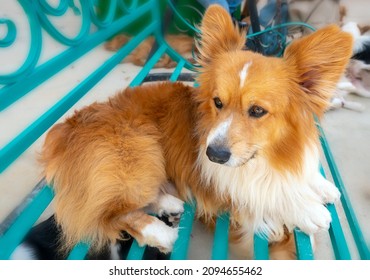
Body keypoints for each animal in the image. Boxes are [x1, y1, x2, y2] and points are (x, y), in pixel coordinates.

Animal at [39, 5, 352, 260]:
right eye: (218, 102)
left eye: (257, 111)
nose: (213, 154)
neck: (264, 158)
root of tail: (63, 130)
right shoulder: (216, 183)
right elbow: (257, 194)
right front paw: (307, 210)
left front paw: (319, 185)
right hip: (139, 154)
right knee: (108, 214)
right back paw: (159, 232)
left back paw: (168, 203)